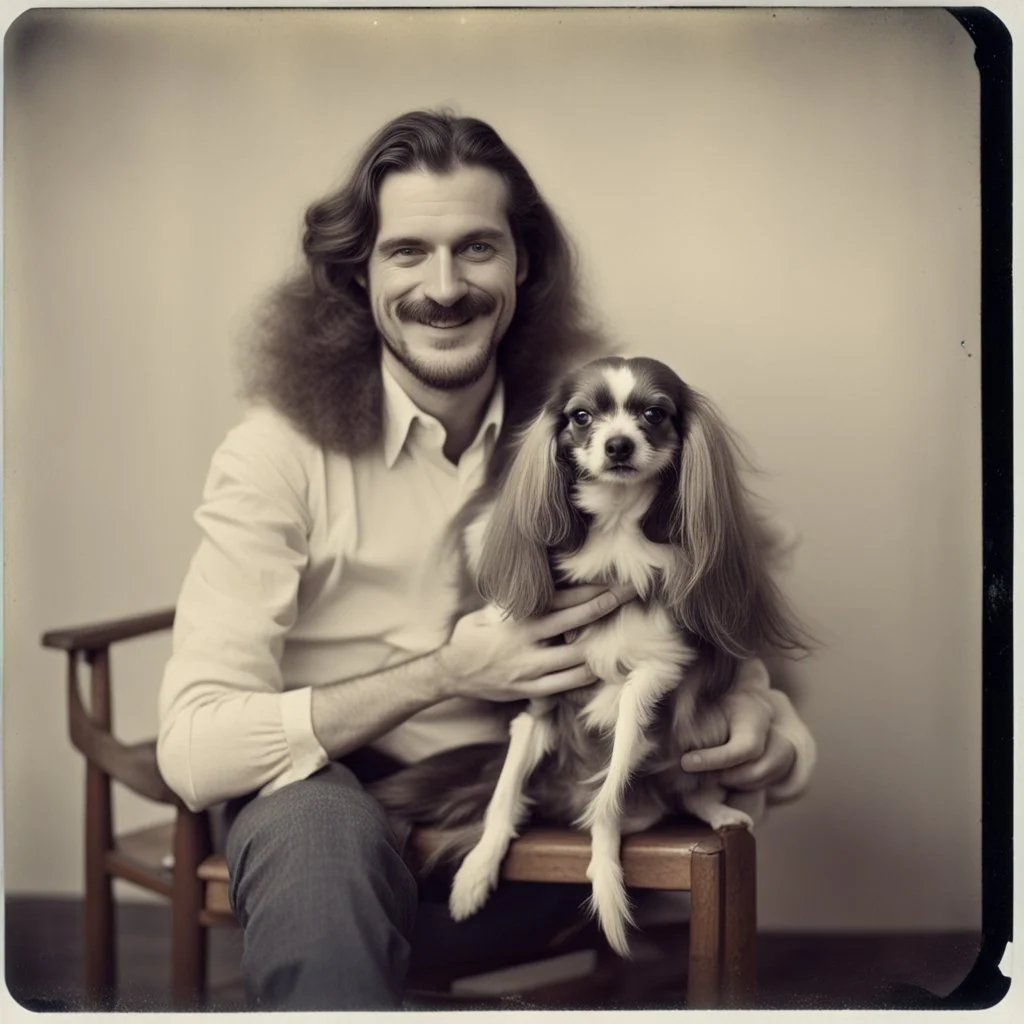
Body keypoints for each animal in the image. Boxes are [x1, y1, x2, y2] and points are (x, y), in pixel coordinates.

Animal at [372, 356, 811, 954]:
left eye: (654, 414)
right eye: (581, 416)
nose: (618, 444)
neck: (617, 528)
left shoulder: (653, 675)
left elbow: (611, 783)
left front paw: (605, 887)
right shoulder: (538, 700)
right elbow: (504, 796)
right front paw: (476, 875)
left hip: (701, 726)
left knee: (673, 786)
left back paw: (715, 810)